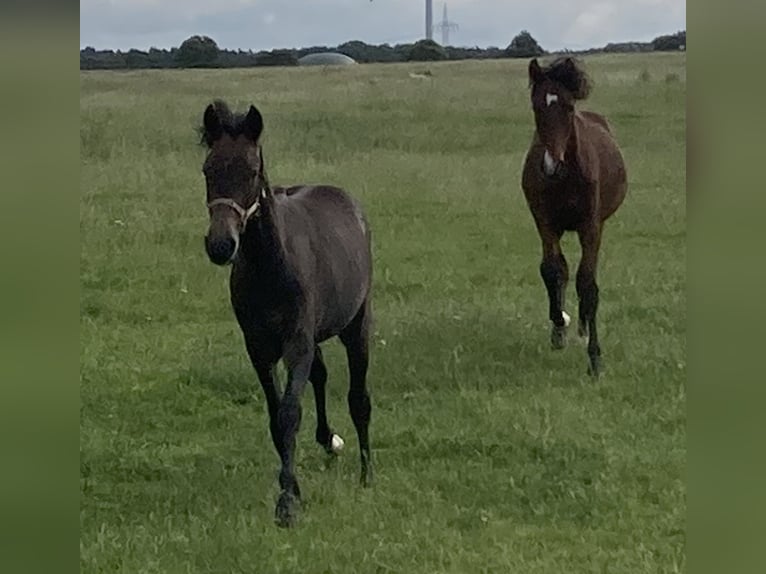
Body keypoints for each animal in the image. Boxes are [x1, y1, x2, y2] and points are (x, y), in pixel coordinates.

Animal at [198, 99, 373, 527]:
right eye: (208, 169)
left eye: (251, 170)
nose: (221, 245)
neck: (271, 268)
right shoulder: (259, 348)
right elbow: (276, 417)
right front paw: (292, 488)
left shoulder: (296, 341)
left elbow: (290, 413)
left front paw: (286, 504)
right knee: (321, 375)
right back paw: (329, 441)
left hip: (356, 324)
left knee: (359, 397)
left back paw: (366, 472)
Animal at [520, 57, 628, 377]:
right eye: (536, 106)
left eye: (568, 107)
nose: (551, 166)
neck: (566, 177)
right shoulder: (545, 223)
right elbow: (552, 270)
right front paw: (559, 324)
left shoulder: (590, 227)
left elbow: (588, 284)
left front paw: (595, 359)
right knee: (563, 271)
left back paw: (582, 325)